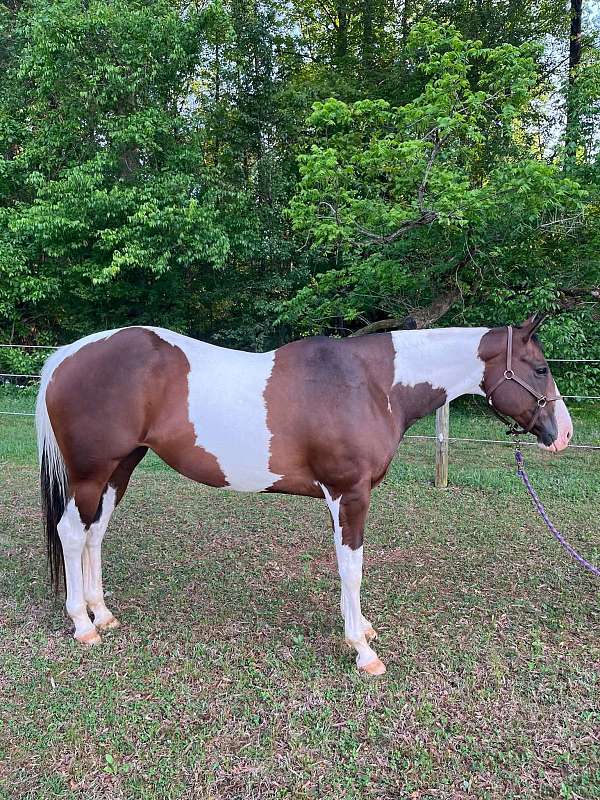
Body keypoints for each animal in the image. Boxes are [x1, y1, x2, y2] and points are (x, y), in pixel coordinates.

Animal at [35, 315, 573, 674]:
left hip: (120, 468)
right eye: (540, 369)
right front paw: (362, 649)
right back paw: (82, 624)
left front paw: (362, 629)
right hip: (91, 473)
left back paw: (103, 614)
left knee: (95, 533)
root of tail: (65, 357)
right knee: (71, 533)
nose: (562, 433)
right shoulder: (349, 495)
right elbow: (352, 568)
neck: (371, 386)